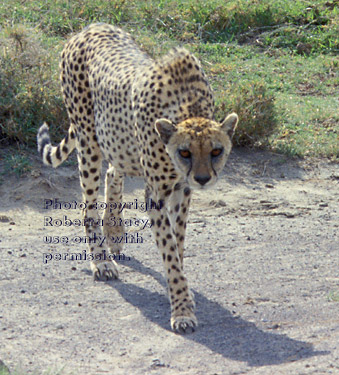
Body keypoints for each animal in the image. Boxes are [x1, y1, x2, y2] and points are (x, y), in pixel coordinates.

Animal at [37, 23, 238, 334]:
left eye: (216, 151)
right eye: (185, 152)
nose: (203, 178)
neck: (188, 107)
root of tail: (91, 26)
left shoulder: (182, 191)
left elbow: (177, 242)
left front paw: (179, 289)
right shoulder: (156, 194)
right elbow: (169, 248)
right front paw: (181, 307)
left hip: (118, 141)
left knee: (113, 170)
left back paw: (114, 232)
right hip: (88, 140)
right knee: (88, 204)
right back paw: (101, 261)